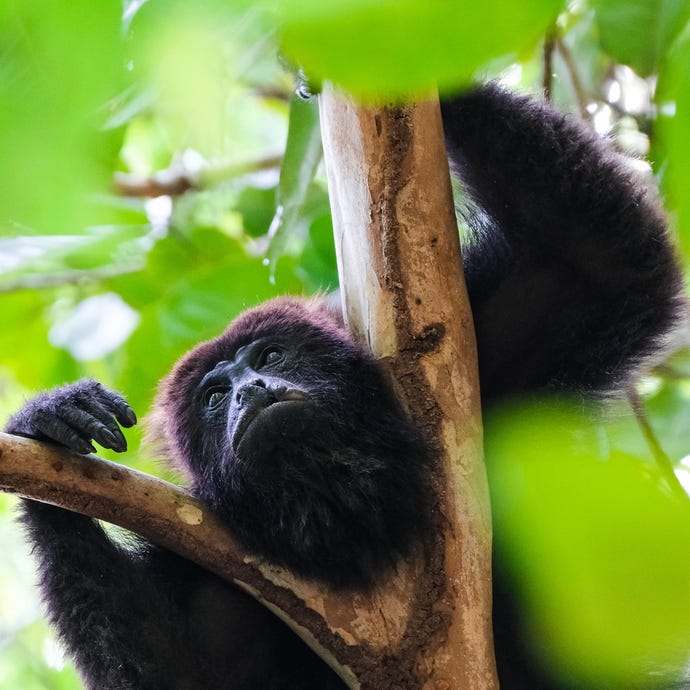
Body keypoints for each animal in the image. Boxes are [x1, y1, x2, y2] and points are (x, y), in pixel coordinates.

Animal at [5, 83, 684, 684]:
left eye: (271, 353)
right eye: (214, 397)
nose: (250, 391)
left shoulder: (503, 360)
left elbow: (601, 263)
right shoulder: (214, 580)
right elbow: (173, 674)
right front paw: (50, 428)